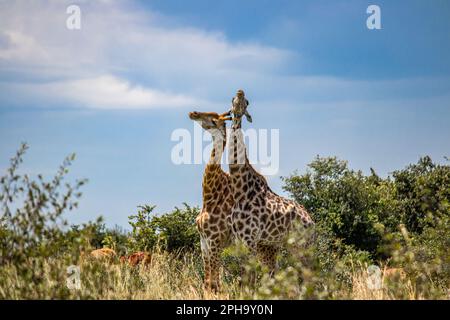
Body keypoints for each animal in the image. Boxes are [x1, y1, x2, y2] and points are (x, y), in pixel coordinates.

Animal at [188, 109, 234, 290]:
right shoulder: (204, 242)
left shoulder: (215, 240)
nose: (192, 113)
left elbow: (215, 284)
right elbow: (207, 282)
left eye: (214, 120)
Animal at [227, 119, 314, 272]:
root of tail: (311, 221)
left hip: (300, 245)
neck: (241, 192)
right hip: (276, 245)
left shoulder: (249, 238)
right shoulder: (240, 239)